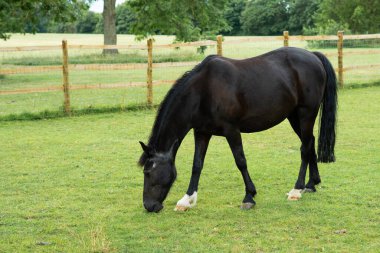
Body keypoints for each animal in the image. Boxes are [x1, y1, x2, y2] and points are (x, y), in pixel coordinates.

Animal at [138, 47, 336, 211]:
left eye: (148, 172)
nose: (149, 206)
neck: (203, 91)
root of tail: (313, 56)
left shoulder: (231, 130)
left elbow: (240, 161)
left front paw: (249, 196)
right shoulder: (202, 132)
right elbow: (197, 165)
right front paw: (187, 200)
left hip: (306, 114)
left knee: (304, 148)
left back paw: (297, 189)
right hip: (294, 117)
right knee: (309, 143)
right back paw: (311, 184)